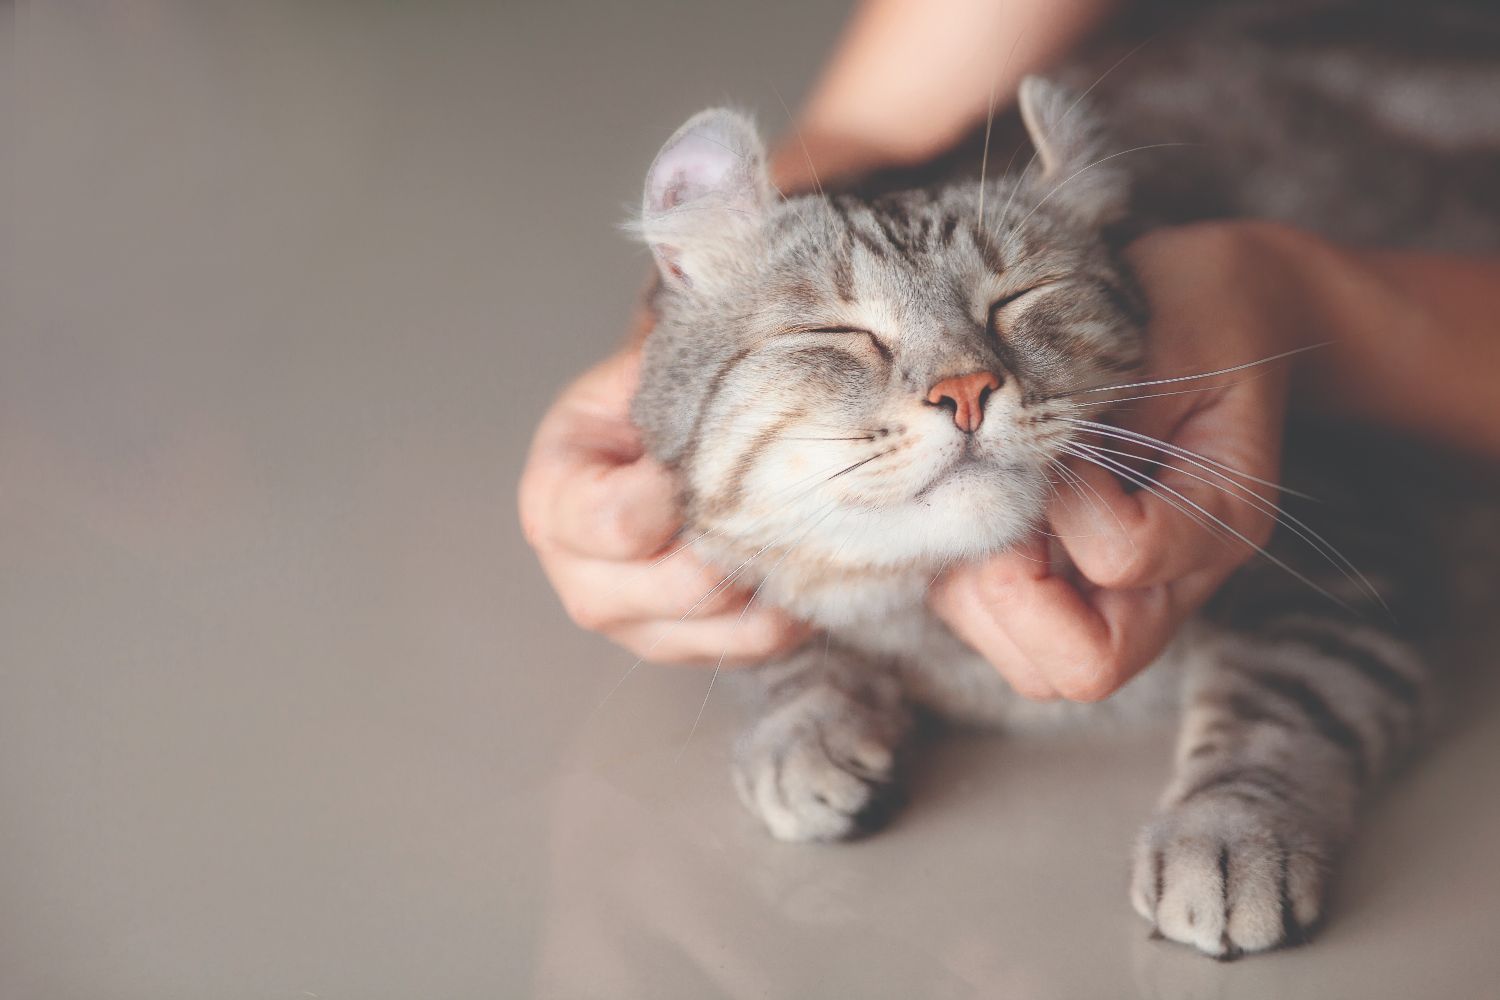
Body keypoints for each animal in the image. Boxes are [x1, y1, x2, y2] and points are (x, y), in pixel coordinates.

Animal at [624, 0, 1500, 959]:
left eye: (1020, 299)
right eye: (839, 333)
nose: (966, 389)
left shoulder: (1350, 547)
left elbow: (1281, 703)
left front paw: (1226, 836)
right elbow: (782, 642)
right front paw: (806, 727)